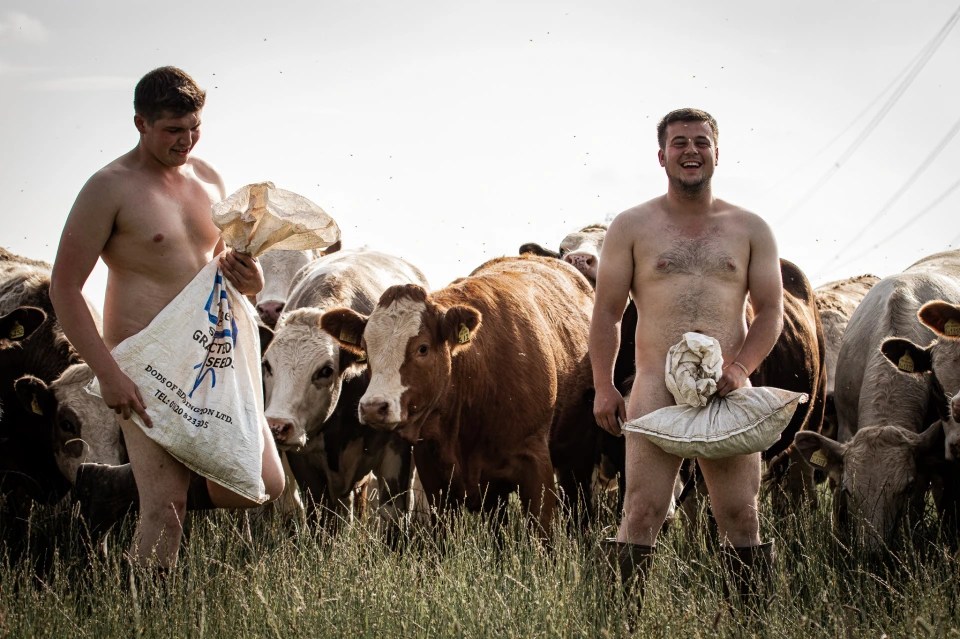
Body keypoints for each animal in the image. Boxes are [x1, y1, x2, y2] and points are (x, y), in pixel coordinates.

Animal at [260, 248, 430, 532]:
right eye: (267, 365)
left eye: (325, 370)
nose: (276, 426)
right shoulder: (305, 464)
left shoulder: (396, 454)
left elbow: (393, 518)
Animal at [320, 252, 600, 532]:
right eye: (366, 349)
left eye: (423, 348)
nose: (373, 407)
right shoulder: (434, 474)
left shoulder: (535, 464)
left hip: (576, 459)